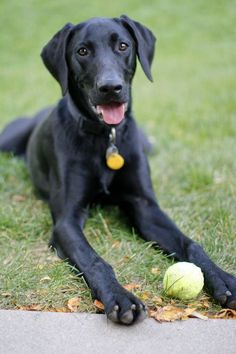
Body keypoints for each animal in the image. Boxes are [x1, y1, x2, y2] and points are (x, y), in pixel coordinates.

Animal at [0, 17, 235, 326]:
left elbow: (191, 244)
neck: (105, 138)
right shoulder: (66, 220)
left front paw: (223, 279)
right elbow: (94, 259)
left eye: (123, 45)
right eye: (82, 51)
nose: (110, 87)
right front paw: (120, 297)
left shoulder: (145, 206)